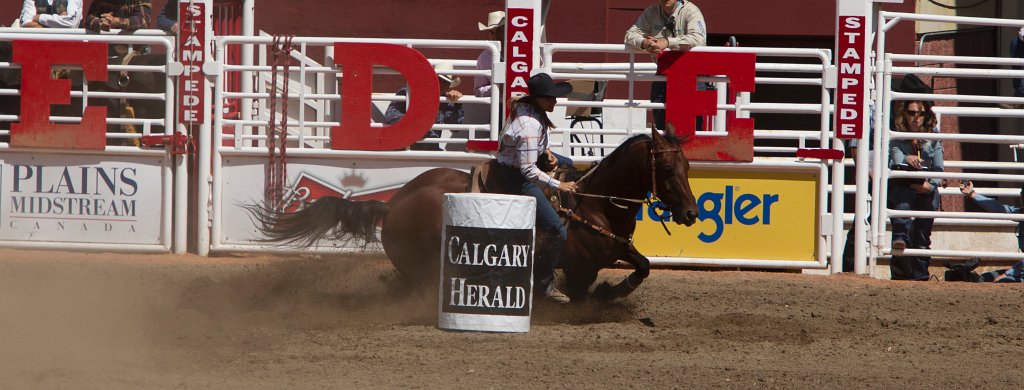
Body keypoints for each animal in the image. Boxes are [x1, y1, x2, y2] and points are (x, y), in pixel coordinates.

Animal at [249, 127, 696, 300]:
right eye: (667, 170)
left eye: (688, 166)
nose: (692, 213)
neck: (593, 203)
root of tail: (391, 205)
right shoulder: (580, 267)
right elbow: (586, 289)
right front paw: (603, 293)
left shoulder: (616, 248)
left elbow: (643, 265)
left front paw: (616, 290)